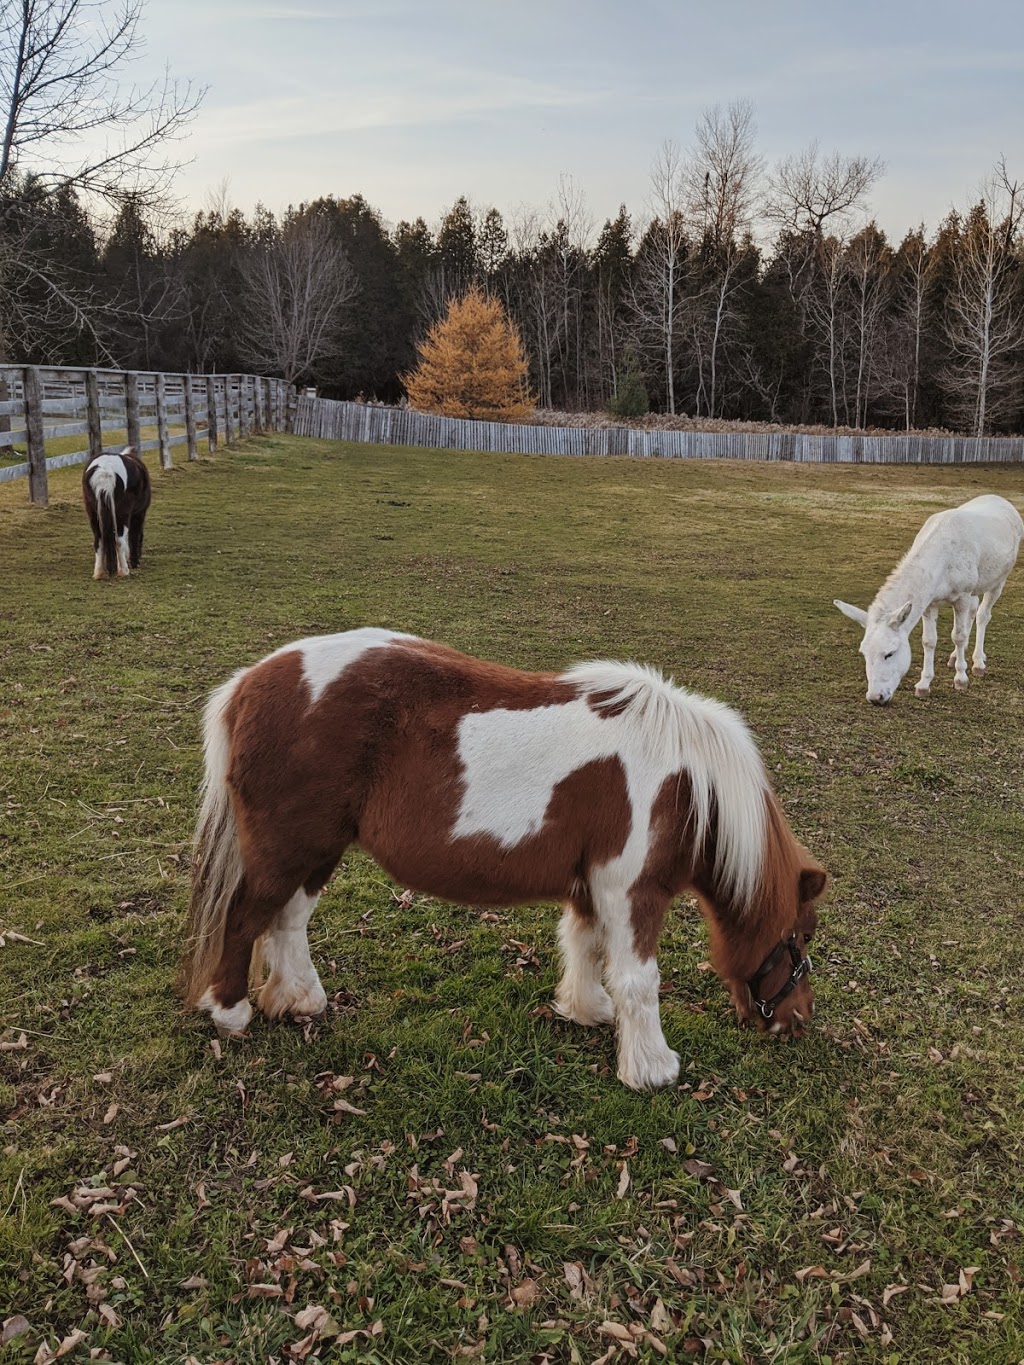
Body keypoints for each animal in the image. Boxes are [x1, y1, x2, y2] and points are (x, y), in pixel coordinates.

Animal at [82, 444, 152, 578]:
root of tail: (105, 470)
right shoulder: (138, 514)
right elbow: (133, 536)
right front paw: (134, 562)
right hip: (123, 515)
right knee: (119, 540)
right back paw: (124, 571)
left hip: (93, 514)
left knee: (99, 541)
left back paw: (98, 573)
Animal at [180, 625, 830, 1086]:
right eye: (799, 939)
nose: (798, 1022)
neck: (687, 785)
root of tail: (248, 683)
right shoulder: (632, 890)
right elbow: (638, 978)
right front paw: (652, 1069)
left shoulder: (592, 886)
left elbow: (585, 946)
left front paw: (587, 1010)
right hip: (287, 849)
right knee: (245, 920)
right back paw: (233, 1014)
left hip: (314, 851)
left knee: (287, 921)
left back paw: (300, 1000)